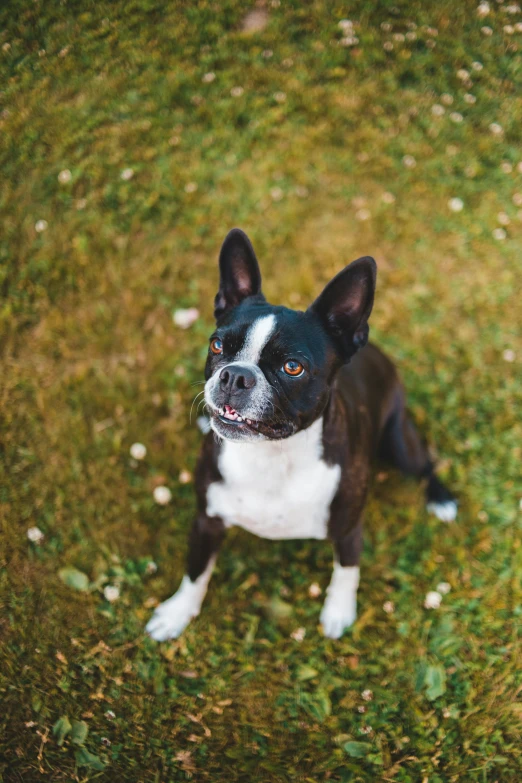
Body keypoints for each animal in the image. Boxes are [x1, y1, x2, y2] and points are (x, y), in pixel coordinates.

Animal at [144, 228, 452, 644]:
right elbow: (196, 572)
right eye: (217, 345)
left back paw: (441, 499)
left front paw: (338, 613)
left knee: (425, 465)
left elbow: (346, 572)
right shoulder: (206, 521)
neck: (272, 456)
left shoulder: (348, 530)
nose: (234, 375)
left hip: (399, 442)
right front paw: (177, 613)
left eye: (293, 367)